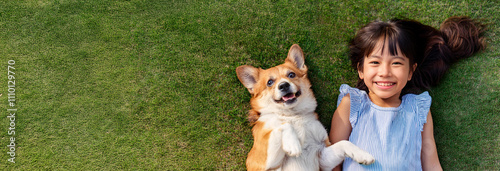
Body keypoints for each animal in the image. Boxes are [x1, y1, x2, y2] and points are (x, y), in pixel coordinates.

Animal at [236, 44, 374, 171]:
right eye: (269, 82)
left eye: (291, 75)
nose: (284, 85)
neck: (293, 115)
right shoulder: (263, 164)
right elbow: (284, 125)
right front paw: (293, 145)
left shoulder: (322, 156)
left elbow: (344, 143)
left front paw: (362, 155)